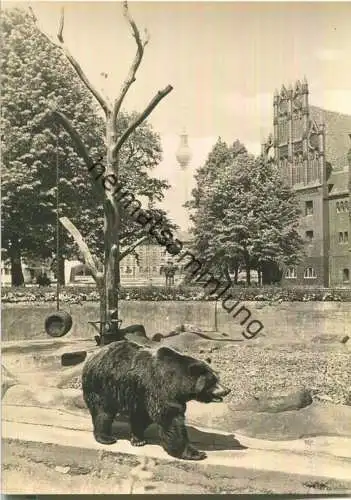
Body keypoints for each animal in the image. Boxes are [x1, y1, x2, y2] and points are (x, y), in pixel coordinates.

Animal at [82, 340, 231, 460]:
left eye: (217, 377)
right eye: (212, 381)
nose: (227, 390)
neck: (178, 383)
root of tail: (93, 355)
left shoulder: (144, 394)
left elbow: (143, 417)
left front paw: (138, 439)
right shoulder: (160, 387)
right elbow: (170, 418)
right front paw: (196, 453)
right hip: (102, 385)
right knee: (103, 412)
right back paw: (106, 437)